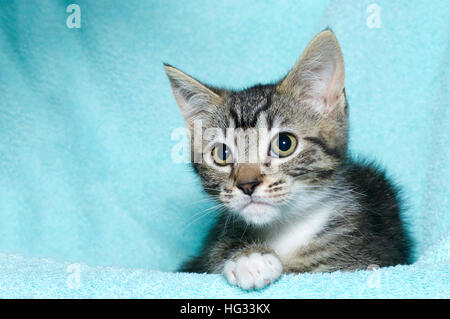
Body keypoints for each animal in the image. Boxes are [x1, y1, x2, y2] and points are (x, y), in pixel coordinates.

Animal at [164, 31, 412, 292]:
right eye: (222, 154)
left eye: (284, 144)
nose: (247, 185)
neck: (285, 230)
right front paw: (248, 257)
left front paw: (252, 258)